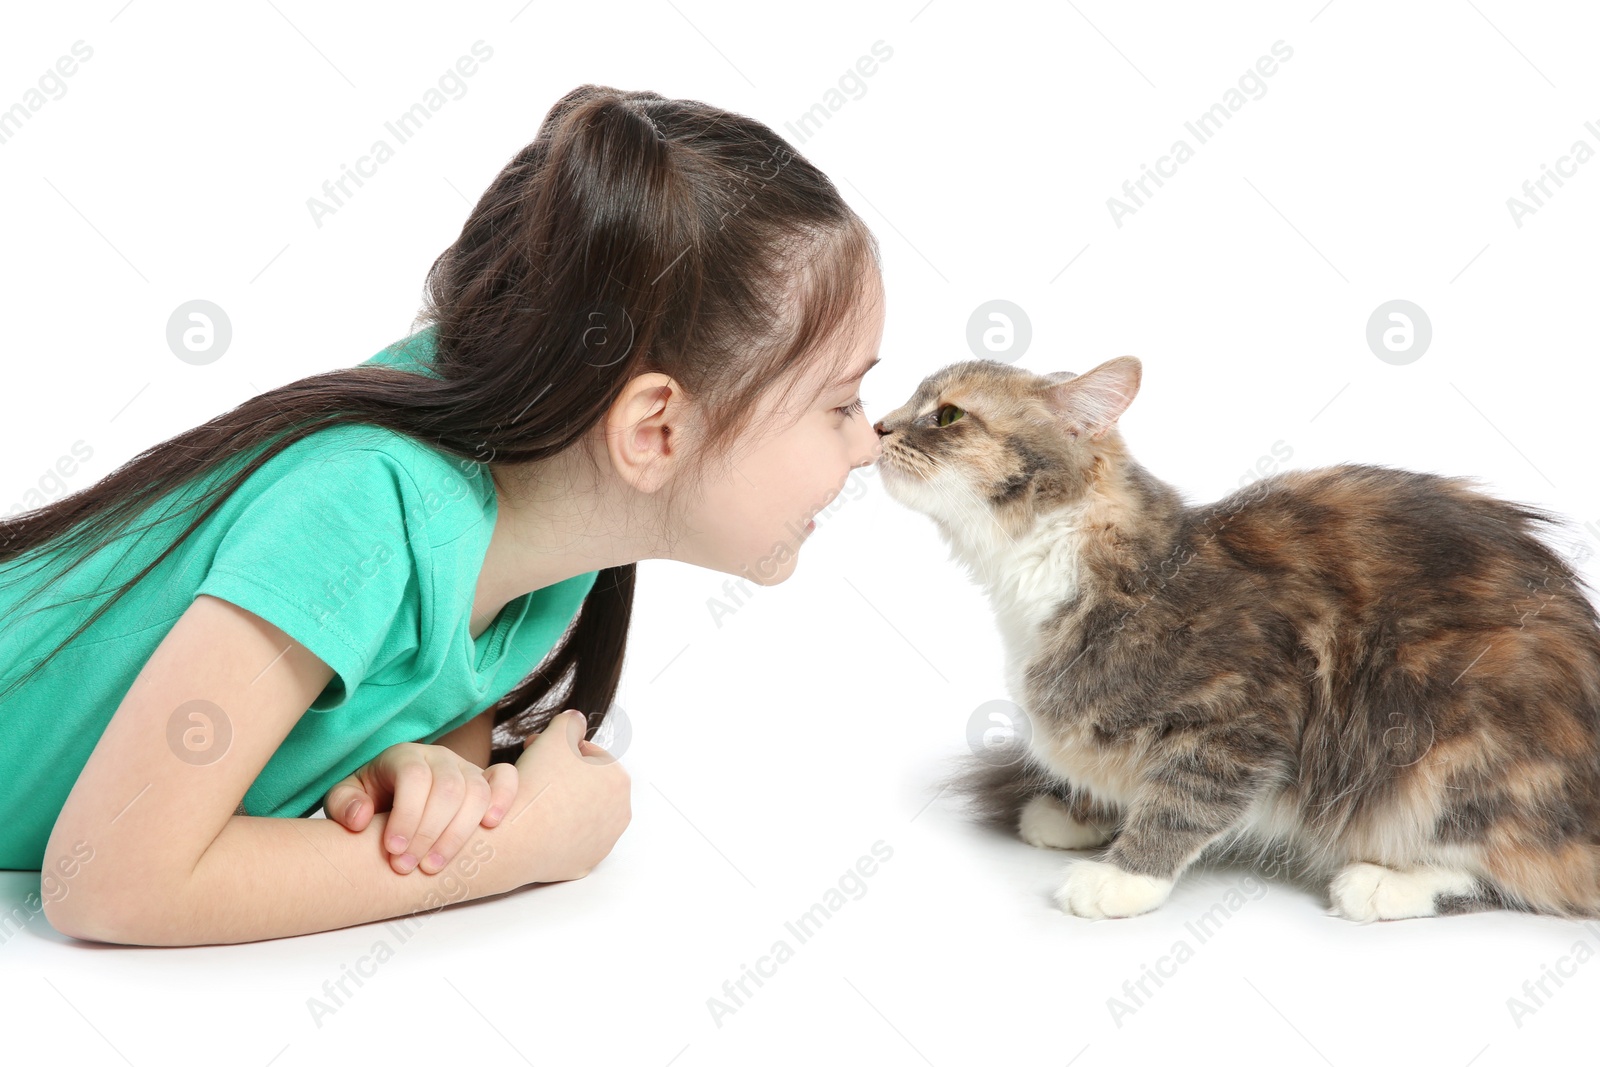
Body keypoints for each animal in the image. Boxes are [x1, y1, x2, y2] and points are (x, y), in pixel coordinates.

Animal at [876, 355, 1600, 921]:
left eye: (947, 415)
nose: (878, 425)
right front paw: (1079, 813)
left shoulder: (1245, 712)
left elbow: (1182, 802)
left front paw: (1124, 875)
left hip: (1443, 730)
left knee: (1537, 875)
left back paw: (1383, 884)